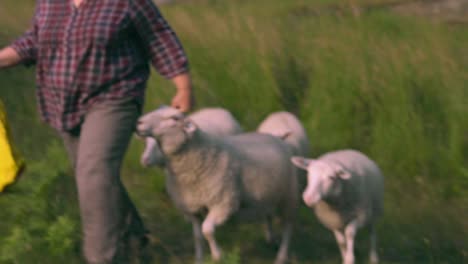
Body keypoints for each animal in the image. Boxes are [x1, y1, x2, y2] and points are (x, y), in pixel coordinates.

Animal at [135, 114, 298, 264]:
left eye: (174, 118)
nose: (138, 122)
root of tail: (277, 138)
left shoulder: (223, 204)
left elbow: (207, 229)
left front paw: (217, 255)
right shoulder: (193, 209)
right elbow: (198, 237)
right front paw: (199, 259)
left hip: (289, 196)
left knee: (288, 226)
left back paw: (281, 256)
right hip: (268, 195)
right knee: (268, 215)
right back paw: (271, 239)